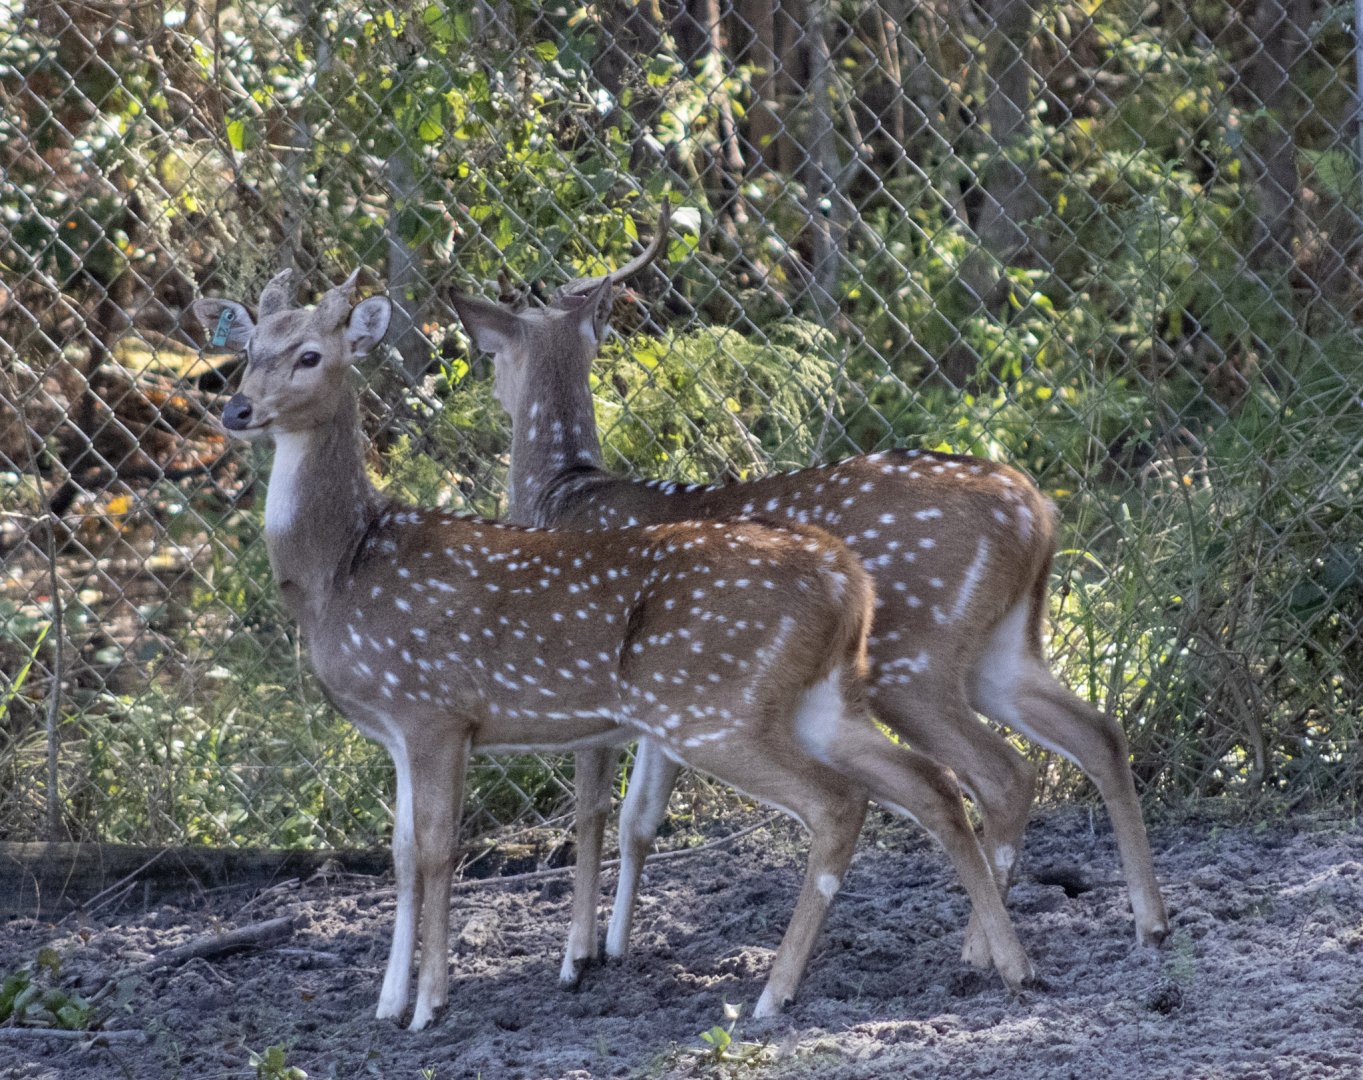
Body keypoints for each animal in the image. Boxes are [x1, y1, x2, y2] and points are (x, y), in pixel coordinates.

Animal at [193, 270, 1035, 1032]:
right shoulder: (397, 732)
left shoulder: (435, 711)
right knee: (934, 781)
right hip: (820, 698)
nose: (237, 410)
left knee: (844, 801)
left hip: (714, 707)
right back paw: (1006, 963)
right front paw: (387, 1003)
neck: (342, 571)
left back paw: (775, 995)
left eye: (309, 355)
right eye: (248, 352)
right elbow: (402, 854)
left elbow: (441, 851)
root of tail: (846, 579)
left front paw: (433, 1005)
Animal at [450, 204, 1170, 987]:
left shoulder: (591, 683)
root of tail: (1037, 513)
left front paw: (576, 958)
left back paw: (982, 952)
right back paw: (1145, 923)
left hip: (911, 657)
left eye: (494, 354)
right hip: (1002, 646)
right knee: (1094, 733)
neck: (566, 494)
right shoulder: (664, 705)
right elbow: (640, 819)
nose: (486, 387)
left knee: (997, 773)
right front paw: (616, 946)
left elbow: (592, 814)